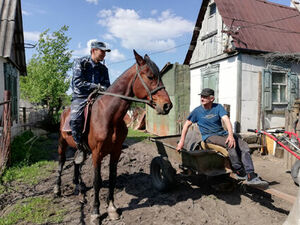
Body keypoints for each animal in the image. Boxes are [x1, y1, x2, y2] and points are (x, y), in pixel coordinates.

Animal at [53, 50, 171, 224]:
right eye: (150, 77)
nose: (167, 105)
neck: (109, 116)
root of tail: (65, 110)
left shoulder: (115, 152)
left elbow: (113, 178)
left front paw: (112, 209)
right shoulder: (97, 154)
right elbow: (97, 181)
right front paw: (95, 213)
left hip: (81, 149)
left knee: (76, 162)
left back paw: (78, 187)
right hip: (62, 143)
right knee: (61, 163)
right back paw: (57, 189)